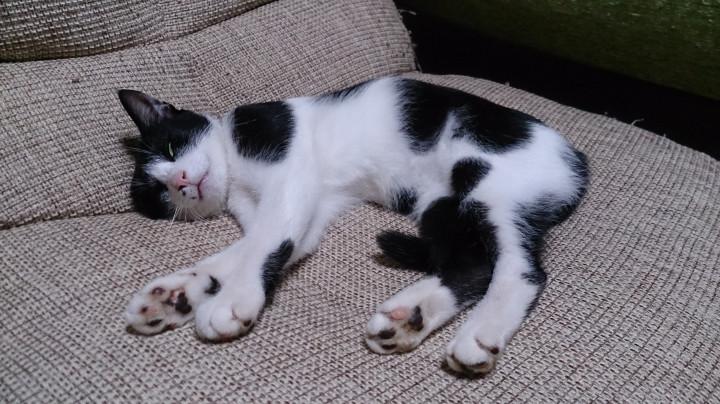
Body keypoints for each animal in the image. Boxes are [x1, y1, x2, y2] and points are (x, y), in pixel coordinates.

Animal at [119, 77, 588, 375]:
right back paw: (410, 317)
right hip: (440, 205)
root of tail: (575, 159)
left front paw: (231, 301)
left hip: (488, 181)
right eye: (159, 193)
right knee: (472, 265)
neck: (234, 172)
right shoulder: (299, 213)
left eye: (172, 146)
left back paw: (480, 333)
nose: (180, 181)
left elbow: (266, 241)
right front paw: (175, 295)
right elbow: (253, 247)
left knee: (521, 270)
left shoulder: (286, 163)